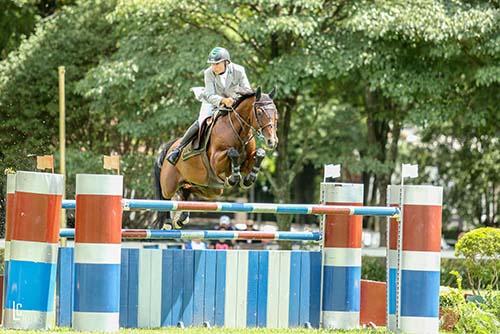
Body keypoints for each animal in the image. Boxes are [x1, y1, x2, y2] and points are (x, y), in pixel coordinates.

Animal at [152, 86, 278, 230]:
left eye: (276, 112)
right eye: (260, 112)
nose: (272, 141)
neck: (239, 131)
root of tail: (169, 147)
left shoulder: (247, 163)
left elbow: (260, 154)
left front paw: (248, 179)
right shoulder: (216, 161)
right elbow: (232, 153)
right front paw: (233, 178)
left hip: (209, 188)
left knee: (187, 190)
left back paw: (182, 218)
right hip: (169, 184)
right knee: (165, 197)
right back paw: (168, 222)